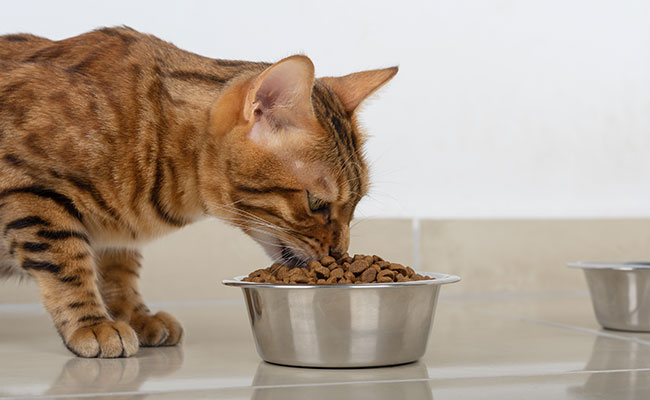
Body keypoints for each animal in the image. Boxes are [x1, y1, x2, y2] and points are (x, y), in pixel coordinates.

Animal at [0, 26, 398, 358]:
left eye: (357, 203)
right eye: (316, 203)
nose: (340, 253)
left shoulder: (116, 235)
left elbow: (119, 270)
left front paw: (135, 315)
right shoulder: (28, 191)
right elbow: (69, 263)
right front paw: (93, 324)